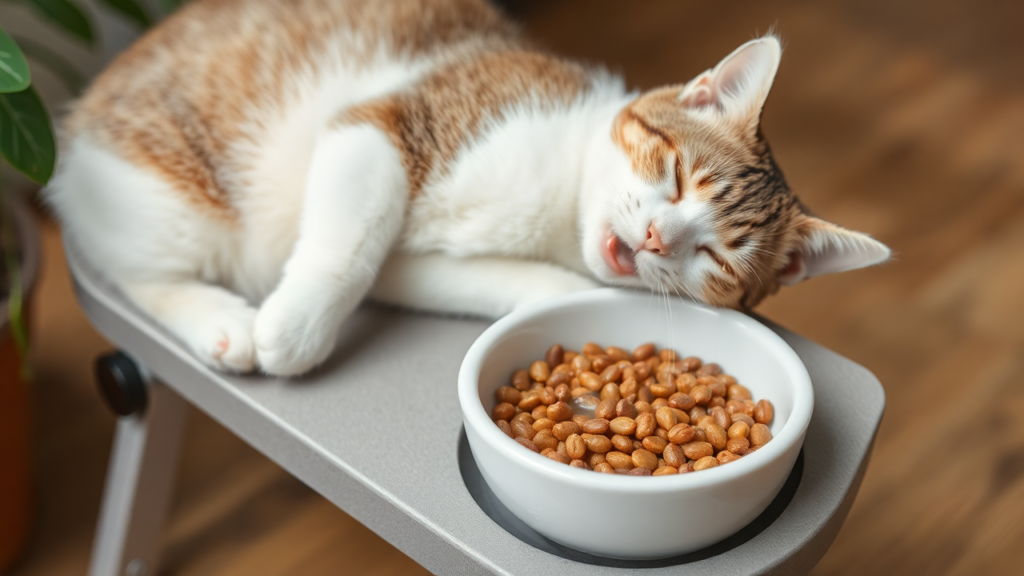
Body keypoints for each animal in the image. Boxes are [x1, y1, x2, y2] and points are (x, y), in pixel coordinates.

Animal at [46, 0, 888, 375]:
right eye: (678, 175)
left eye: (715, 258)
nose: (655, 237)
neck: (560, 204)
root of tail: (75, 114)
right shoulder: (388, 119)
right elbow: (350, 244)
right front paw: (297, 329)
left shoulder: (411, 266)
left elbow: (440, 275)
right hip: (165, 184)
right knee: (125, 264)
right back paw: (222, 320)